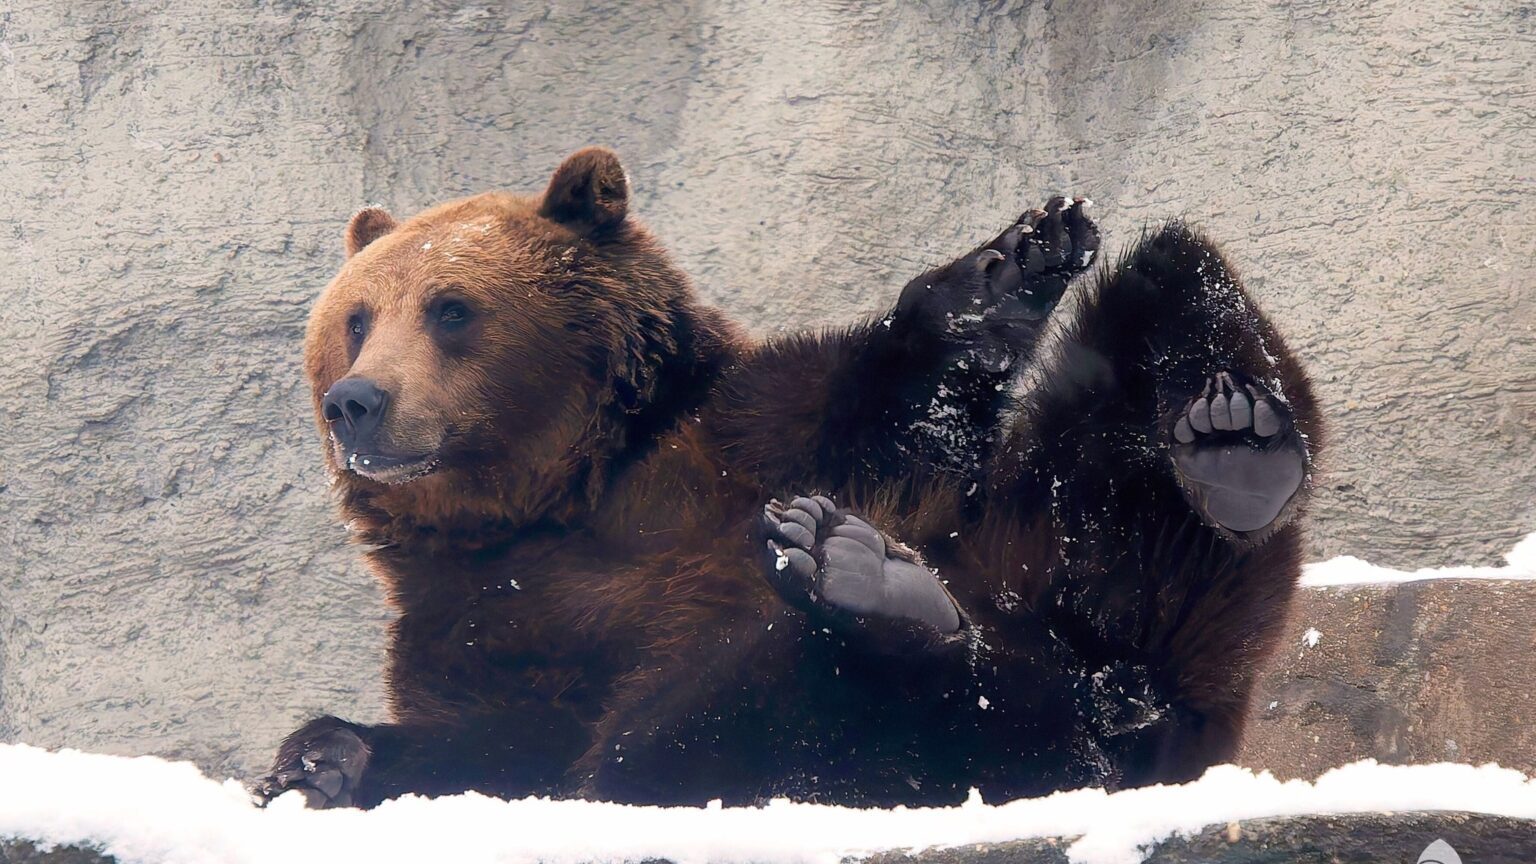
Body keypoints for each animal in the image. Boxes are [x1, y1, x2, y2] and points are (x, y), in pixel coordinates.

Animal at [255, 146, 1319, 809]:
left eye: (450, 308)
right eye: (356, 317)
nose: (355, 401)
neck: (564, 493)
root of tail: (1124, 708)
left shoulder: (749, 441)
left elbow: (891, 400)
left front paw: (1008, 268)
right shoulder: (486, 611)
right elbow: (509, 739)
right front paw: (320, 758)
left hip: (1081, 569)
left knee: (1169, 293)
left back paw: (1233, 452)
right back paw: (880, 592)